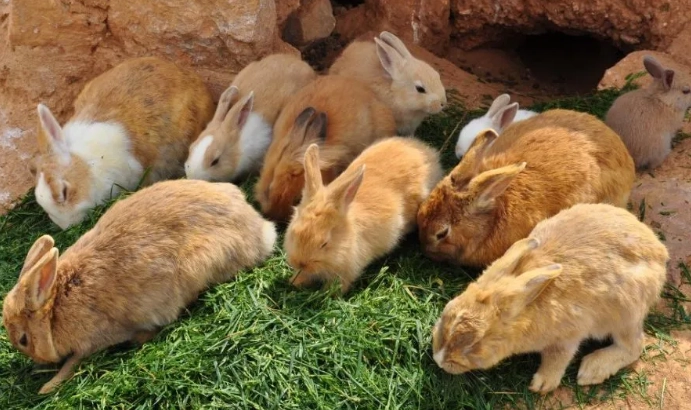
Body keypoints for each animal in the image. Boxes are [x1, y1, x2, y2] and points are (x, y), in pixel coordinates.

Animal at [2, 179, 277, 394]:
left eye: (24, 340)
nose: (37, 361)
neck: (56, 306)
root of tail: (262, 229)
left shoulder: (94, 340)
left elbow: (74, 361)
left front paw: (47, 386)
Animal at [284, 137, 443, 293]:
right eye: (293, 234)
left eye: (324, 244)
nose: (300, 263)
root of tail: (428, 152)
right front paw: (295, 281)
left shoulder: (346, 272)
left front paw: (328, 294)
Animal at [432, 203, 669, 394]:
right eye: (445, 313)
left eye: (475, 343)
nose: (439, 360)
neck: (526, 309)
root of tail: (660, 253)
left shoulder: (568, 335)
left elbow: (558, 357)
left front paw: (542, 385)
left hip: (624, 313)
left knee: (634, 346)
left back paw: (591, 370)